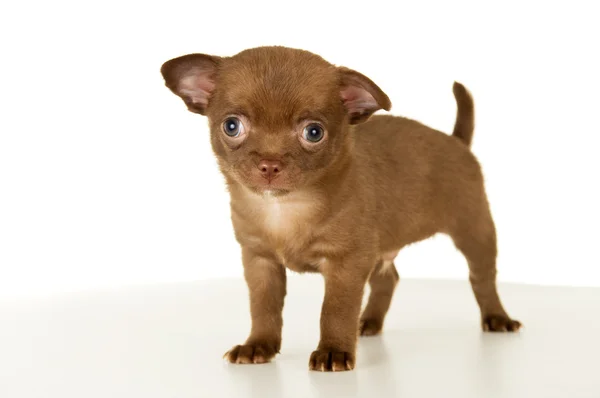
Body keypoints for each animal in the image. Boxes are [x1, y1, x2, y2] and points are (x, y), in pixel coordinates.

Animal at [161, 46, 520, 374]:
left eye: (314, 132)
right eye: (232, 126)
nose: (270, 164)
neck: (284, 208)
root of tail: (456, 141)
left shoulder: (347, 263)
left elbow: (334, 309)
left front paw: (333, 351)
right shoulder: (260, 260)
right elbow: (263, 307)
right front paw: (258, 345)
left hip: (474, 231)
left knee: (482, 277)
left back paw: (497, 318)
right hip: (381, 248)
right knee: (388, 279)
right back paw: (369, 322)